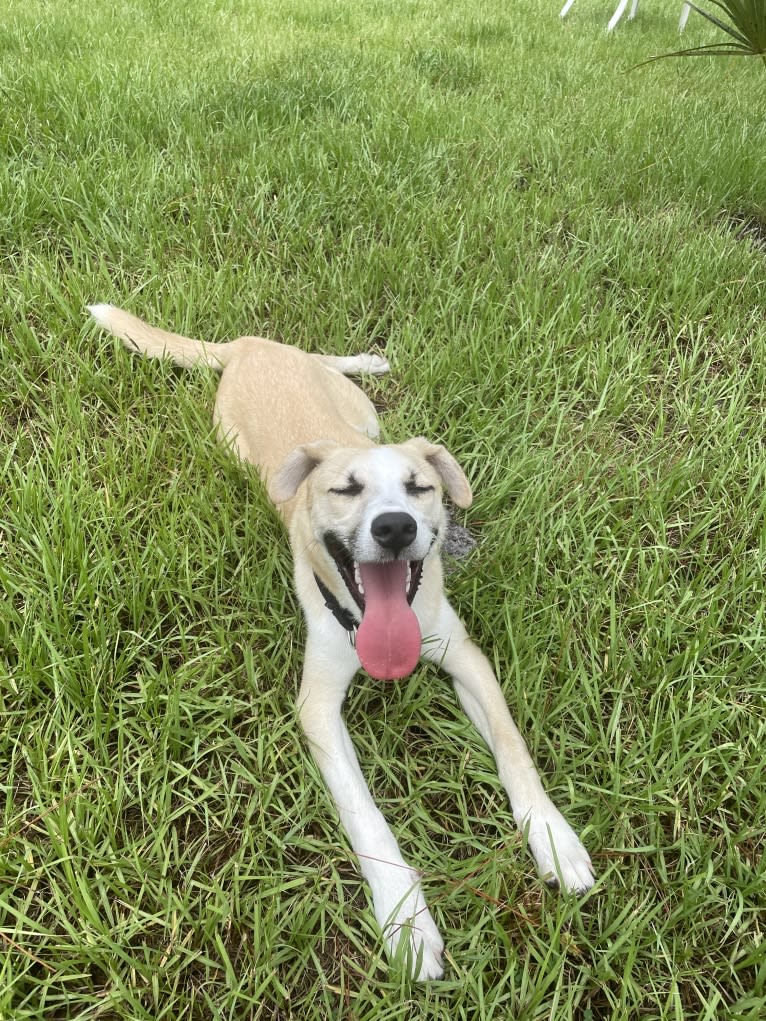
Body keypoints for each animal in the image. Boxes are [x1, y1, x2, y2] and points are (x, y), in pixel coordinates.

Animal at [88, 304, 592, 980]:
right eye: (346, 491)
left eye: (420, 488)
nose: (395, 527)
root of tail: (245, 347)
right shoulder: (318, 707)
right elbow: (365, 815)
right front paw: (406, 919)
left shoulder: (465, 657)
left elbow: (514, 751)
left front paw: (555, 842)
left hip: (359, 410)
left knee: (328, 363)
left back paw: (367, 360)